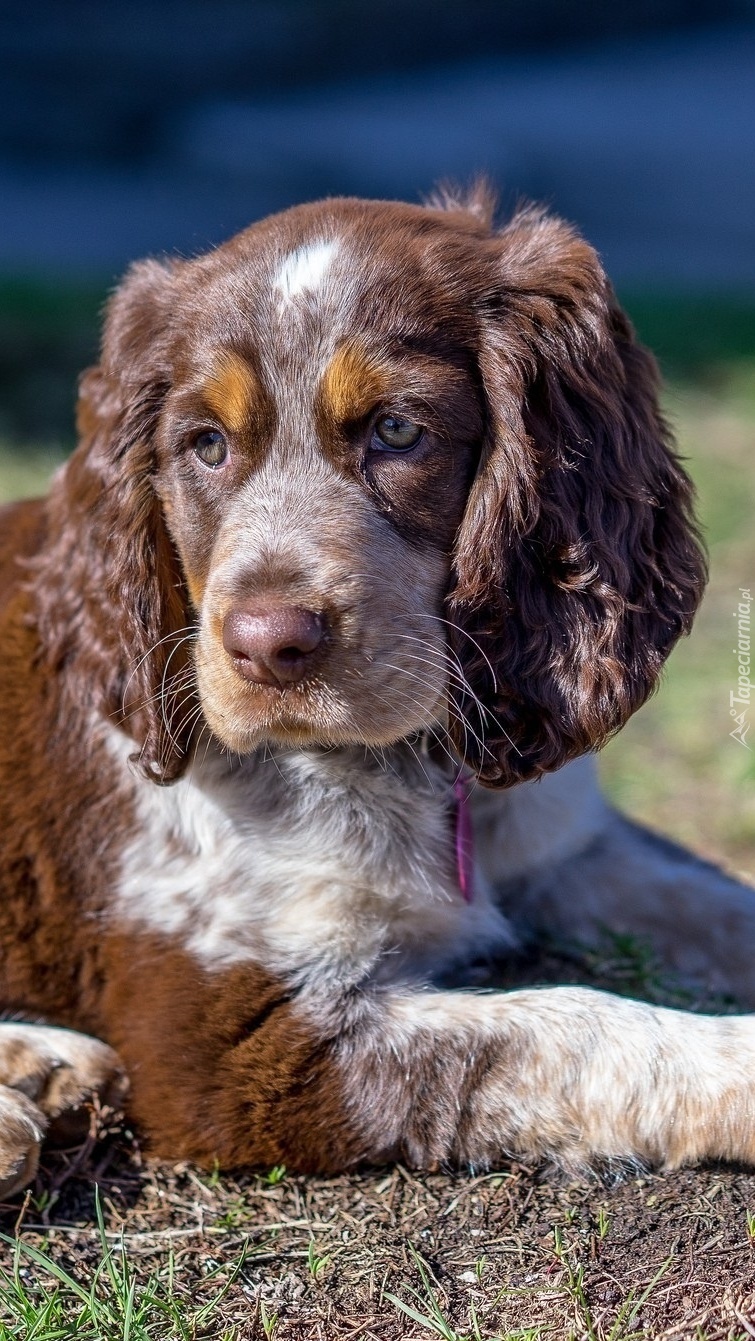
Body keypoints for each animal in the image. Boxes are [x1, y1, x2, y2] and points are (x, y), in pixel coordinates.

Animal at [1, 186, 755, 1196]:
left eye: (397, 430)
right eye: (204, 445)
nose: (266, 646)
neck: (415, 764)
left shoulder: (570, 846)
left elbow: (715, 900)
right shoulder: (234, 1040)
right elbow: (577, 1028)